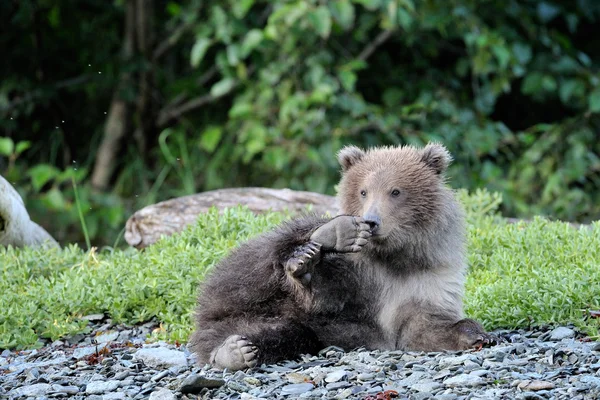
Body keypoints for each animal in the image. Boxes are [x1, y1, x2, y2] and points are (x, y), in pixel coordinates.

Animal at [189, 142, 492, 370]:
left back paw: (236, 351)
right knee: (258, 267)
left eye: (395, 191)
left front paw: (475, 334)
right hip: (239, 286)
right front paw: (307, 265)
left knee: (286, 334)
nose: (371, 222)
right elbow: (324, 296)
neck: (394, 257)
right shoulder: (354, 271)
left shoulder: (430, 277)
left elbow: (423, 328)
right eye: (363, 191)